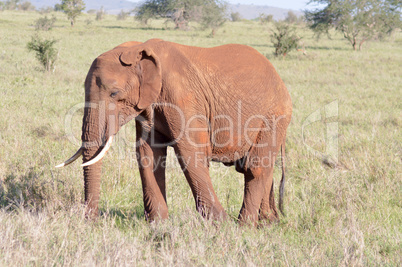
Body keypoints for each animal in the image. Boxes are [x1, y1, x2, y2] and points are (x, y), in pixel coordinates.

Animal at [57, 38, 292, 227]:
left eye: (114, 93)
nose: (91, 221)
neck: (139, 49)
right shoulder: (150, 105)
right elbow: (148, 155)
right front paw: (158, 224)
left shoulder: (183, 97)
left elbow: (190, 154)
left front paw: (221, 225)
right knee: (259, 167)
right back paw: (268, 223)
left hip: (274, 116)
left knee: (255, 167)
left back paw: (245, 226)